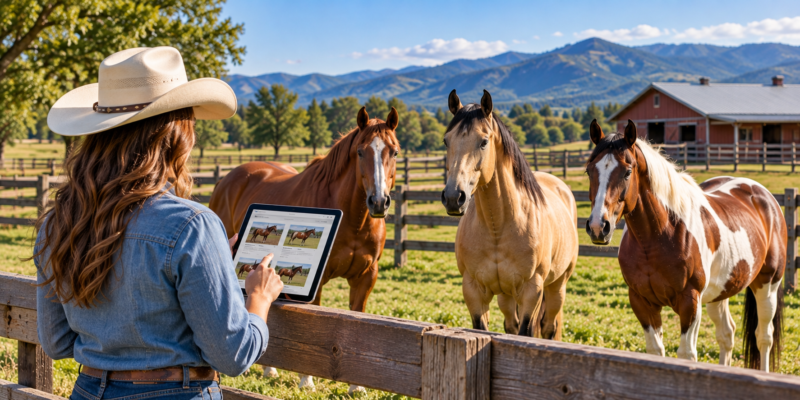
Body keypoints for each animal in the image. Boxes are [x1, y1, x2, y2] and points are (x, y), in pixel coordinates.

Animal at [210, 107, 400, 392]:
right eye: (360, 151)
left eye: (394, 151)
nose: (378, 202)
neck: (351, 219)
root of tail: (228, 180)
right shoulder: (317, 282)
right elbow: (312, 319)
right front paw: (307, 380)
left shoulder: (366, 277)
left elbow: (358, 317)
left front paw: (357, 387)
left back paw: (270, 369)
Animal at [441, 90, 579, 339]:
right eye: (447, 141)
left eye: (483, 142)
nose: (454, 197)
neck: (498, 226)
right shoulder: (473, 292)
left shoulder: (531, 292)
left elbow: (526, 333)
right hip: (505, 295)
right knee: (511, 325)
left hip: (557, 286)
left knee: (549, 327)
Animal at [585, 119, 786, 372]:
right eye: (589, 170)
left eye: (627, 172)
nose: (598, 226)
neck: (656, 237)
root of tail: (762, 194)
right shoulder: (642, 301)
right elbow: (654, 351)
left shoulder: (690, 302)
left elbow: (686, 355)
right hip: (720, 292)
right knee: (727, 334)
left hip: (767, 285)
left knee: (763, 337)